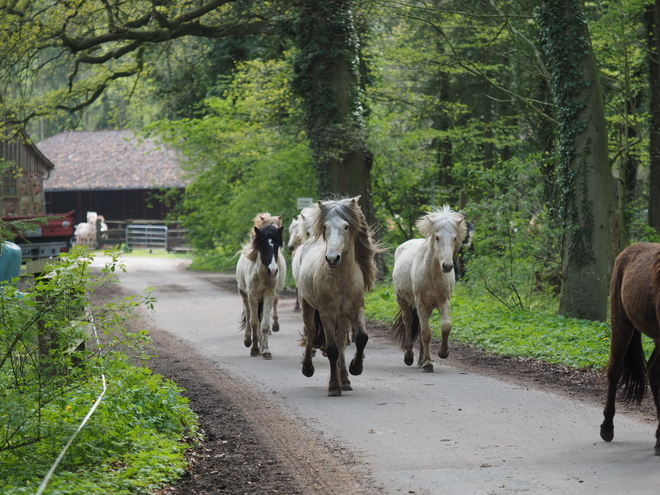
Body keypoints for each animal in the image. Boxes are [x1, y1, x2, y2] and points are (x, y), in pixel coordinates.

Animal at [238, 215, 288, 358]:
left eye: (277, 245)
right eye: (263, 246)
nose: (273, 270)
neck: (261, 275)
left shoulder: (269, 295)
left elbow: (264, 324)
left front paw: (265, 349)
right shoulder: (252, 297)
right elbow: (254, 322)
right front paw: (254, 349)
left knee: (259, 319)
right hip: (245, 296)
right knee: (249, 316)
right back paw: (248, 340)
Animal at [392, 205, 470, 372]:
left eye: (454, 238)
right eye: (437, 237)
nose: (447, 266)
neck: (432, 273)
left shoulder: (443, 300)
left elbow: (445, 327)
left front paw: (443, 353)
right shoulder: (420, 301)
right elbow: (426, 333)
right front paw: (428, 363)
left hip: (427, 306)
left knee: (422, 324)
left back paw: (421, 359)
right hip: (403, 300)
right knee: (408, 321)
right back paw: (409, 357)